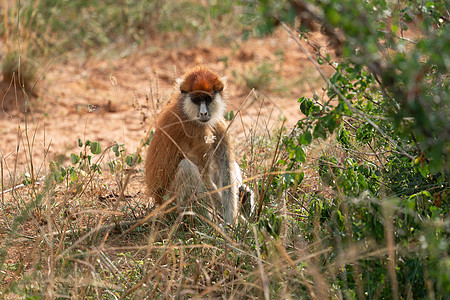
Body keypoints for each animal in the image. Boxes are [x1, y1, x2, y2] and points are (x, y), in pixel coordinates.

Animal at [147, 65, 253, 225]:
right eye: (196, 100)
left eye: (207, 99)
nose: (203, 113)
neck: (186, 112)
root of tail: (159, 205)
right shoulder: (195, 132)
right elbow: (204, 177)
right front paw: (235, 226)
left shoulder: (218, 124)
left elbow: (225, 169)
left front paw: (236, 221)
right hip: (170, 205)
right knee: (187, 168)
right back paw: (206, 224)